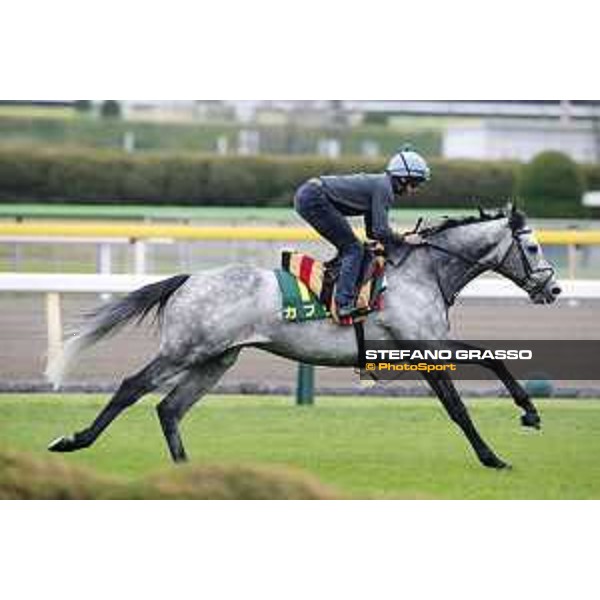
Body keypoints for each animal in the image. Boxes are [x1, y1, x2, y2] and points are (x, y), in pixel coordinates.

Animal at [47, 205, 564, 468]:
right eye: (534, 246)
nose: (554, 289)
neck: (422, 271)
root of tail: (188, 279)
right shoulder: (419, 345)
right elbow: (457, 407)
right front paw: (493, 457)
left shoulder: (429, 342)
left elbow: (493, 358)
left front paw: (531, 412)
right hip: (186, 349)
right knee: (133, 387)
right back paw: (75, 441)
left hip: (216, 359)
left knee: (169, 407)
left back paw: (186, 471)